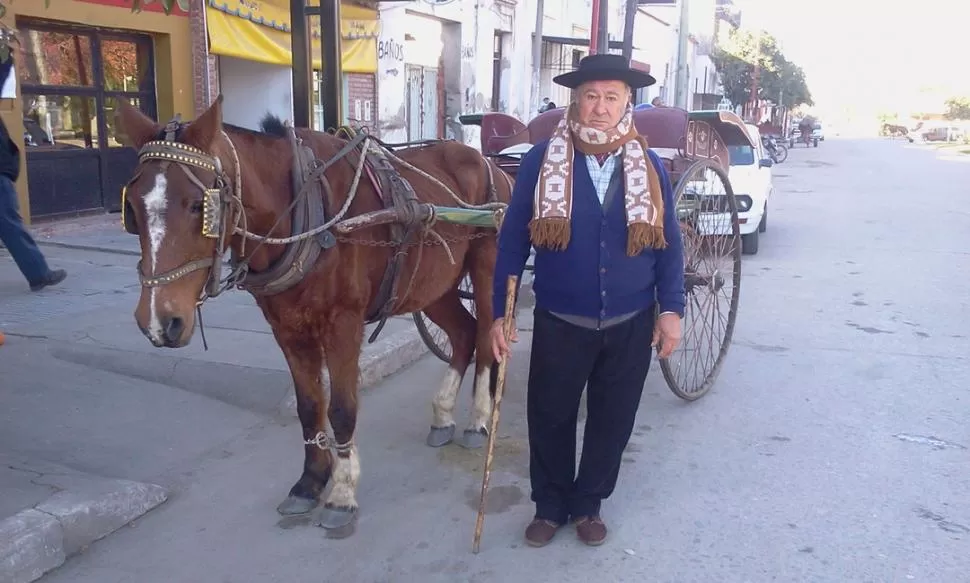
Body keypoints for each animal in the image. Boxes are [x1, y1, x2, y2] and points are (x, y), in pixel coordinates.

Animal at [116, 96, 510, 540]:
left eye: (200, 205)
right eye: (132, 210)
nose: (158, 321)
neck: (305, 212)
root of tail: (487, 163)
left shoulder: (343, 324)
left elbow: (341, 409)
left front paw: (341, 492)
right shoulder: (287, 328)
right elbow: (309, 407)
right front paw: (309, 483)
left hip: (486, 270)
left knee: (485, 337)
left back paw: (478, 420)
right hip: (432, 284)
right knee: (462, 334)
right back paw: (443, 414)